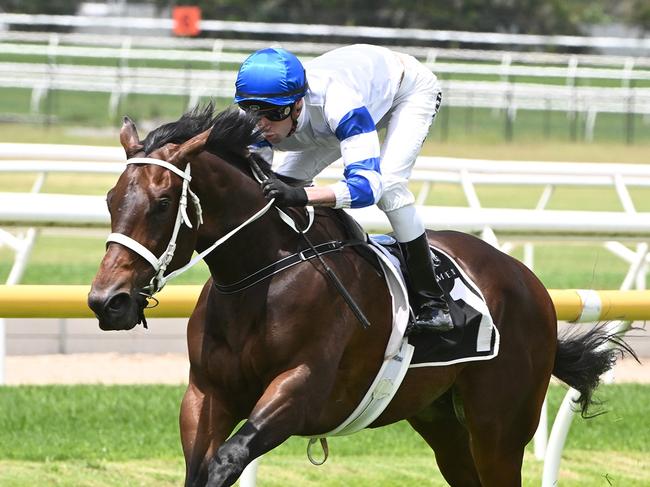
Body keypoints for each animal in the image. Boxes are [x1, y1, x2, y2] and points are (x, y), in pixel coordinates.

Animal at [88, 106, 624, 487]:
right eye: (111, 199)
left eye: (162, 204)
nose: (107, 301)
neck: (259, 279)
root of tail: (529, 281)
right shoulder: (207, 393)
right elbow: (200, 467)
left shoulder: (301, 389)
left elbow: (228, 461)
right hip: (440, 421)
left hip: (499, 427)